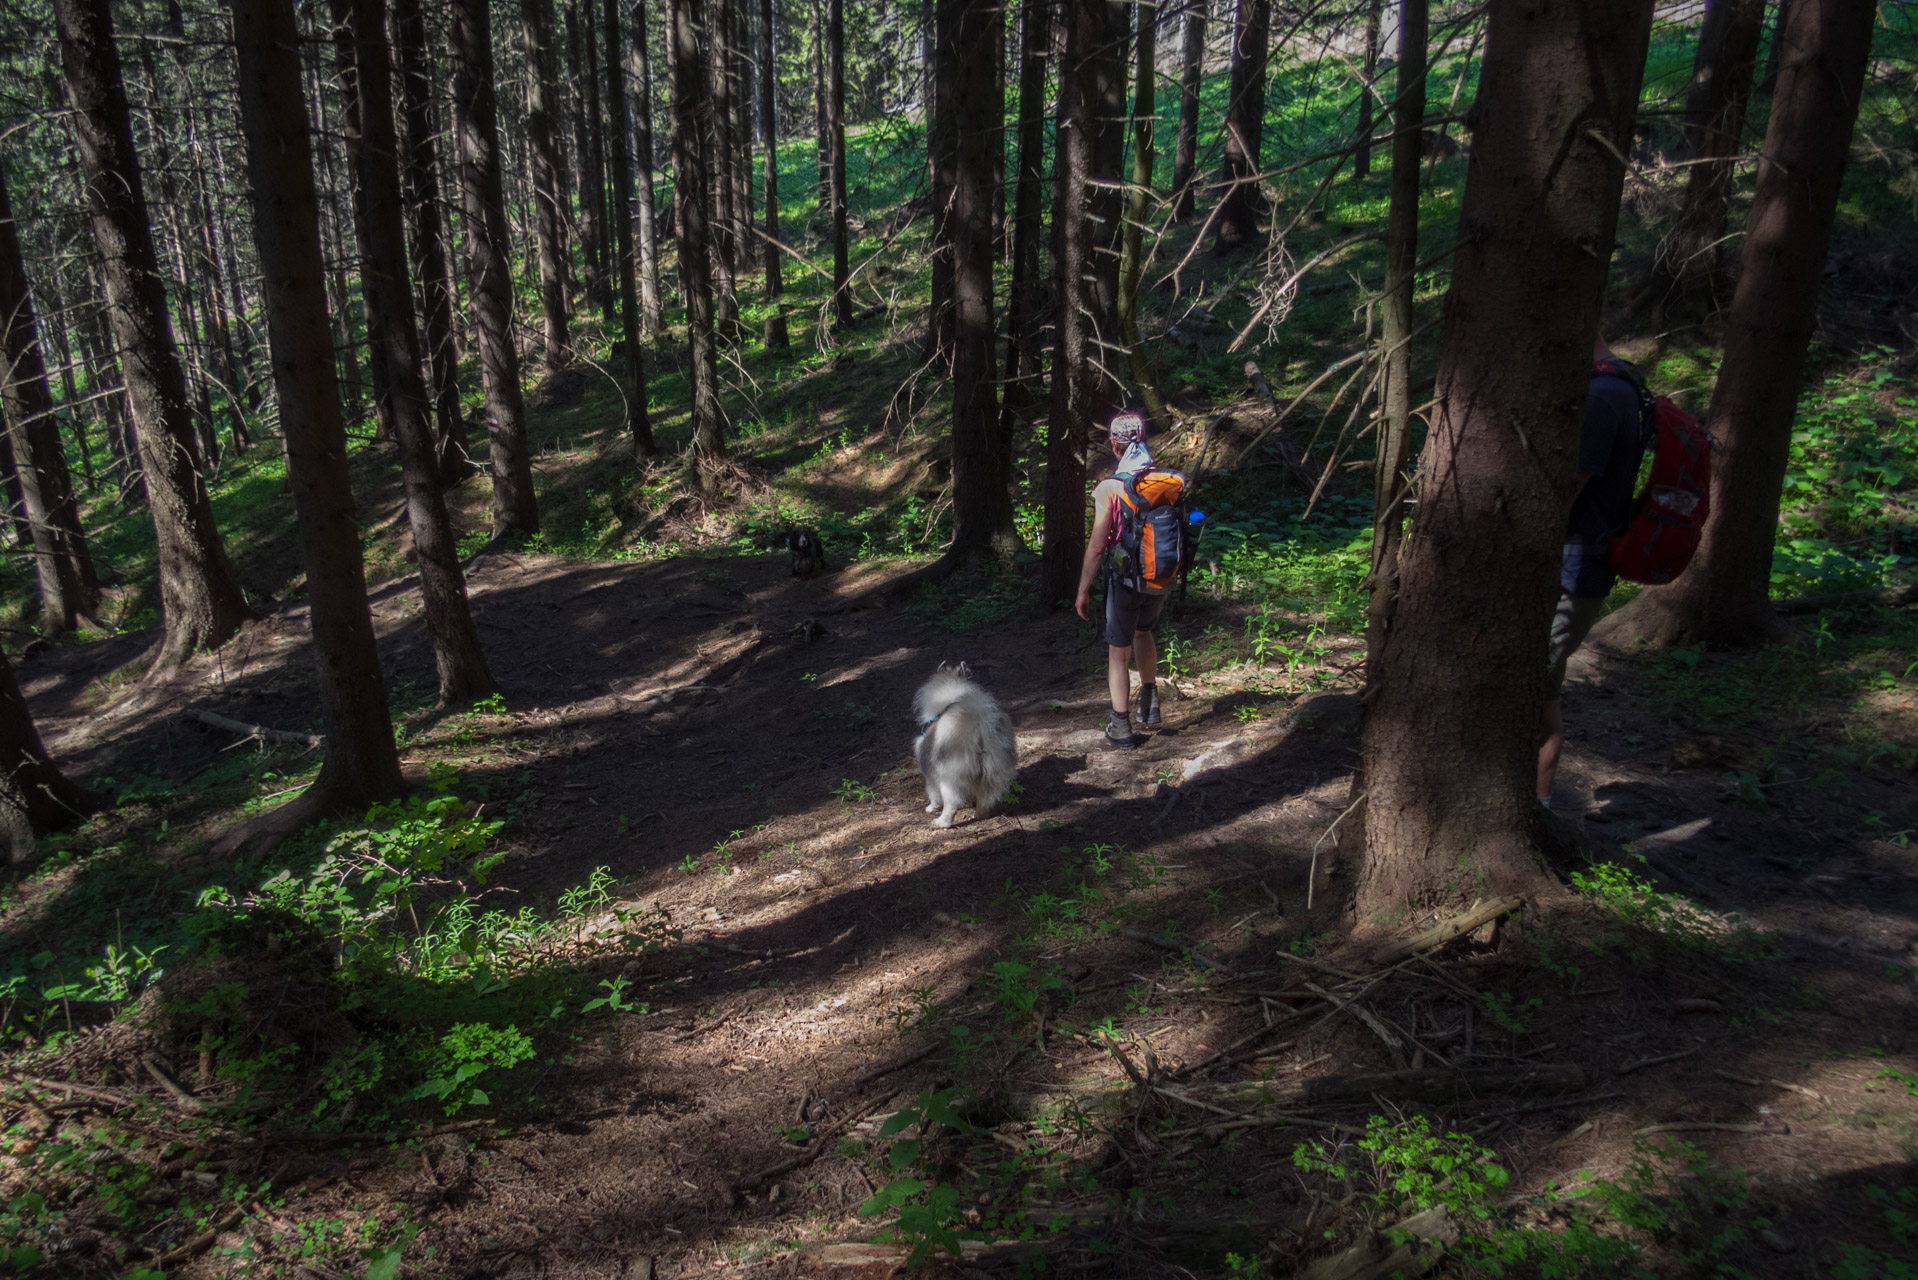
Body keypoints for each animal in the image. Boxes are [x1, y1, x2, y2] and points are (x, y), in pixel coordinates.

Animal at [912, 660, 1020, 832]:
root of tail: (979, 727)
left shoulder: (929, 771)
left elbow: (932, 793)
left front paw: (931, 808)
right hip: (992, 772)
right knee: (985, 798)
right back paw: (979, 814)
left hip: (949, 778)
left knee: (951, 804)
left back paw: (941, 823)